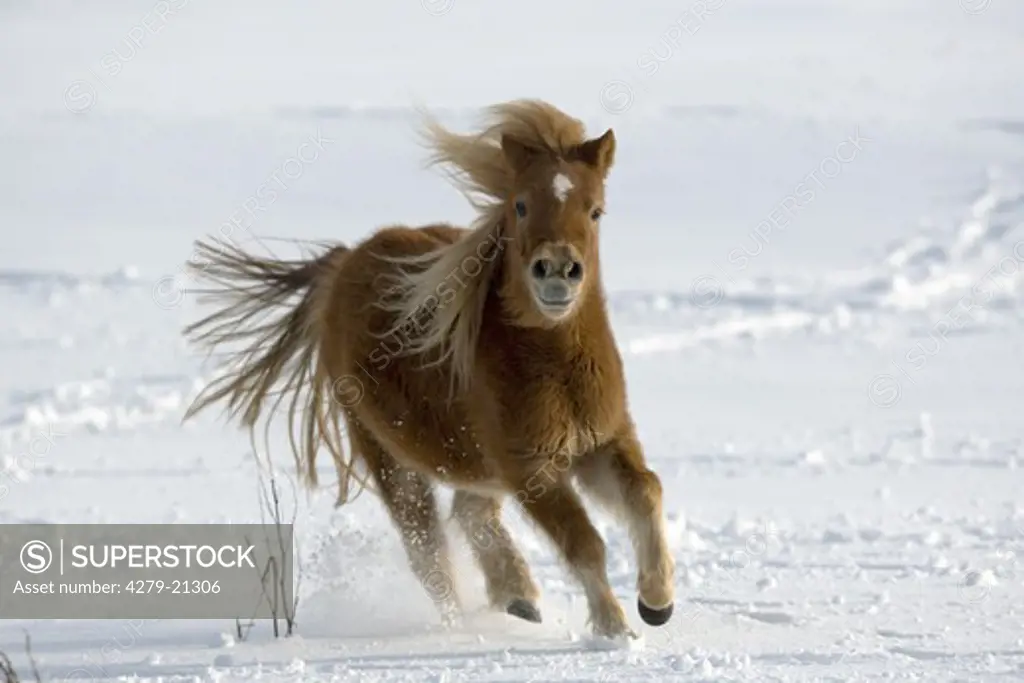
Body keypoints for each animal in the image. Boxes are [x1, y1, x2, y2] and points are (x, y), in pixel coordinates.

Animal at [184, 98, 675, 638]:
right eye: (520, 205)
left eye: (595, 210)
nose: (557, 272)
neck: (557, 366)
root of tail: (342, 265)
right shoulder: (530, 467)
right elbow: (583, 541)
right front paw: (615, 629)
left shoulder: (603, 440)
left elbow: (646, 490)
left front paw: (657, 601)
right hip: (388, 456)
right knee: (429, 551)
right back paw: (468, 620)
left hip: (473, 463)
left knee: (470, 512)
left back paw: (518, 598)